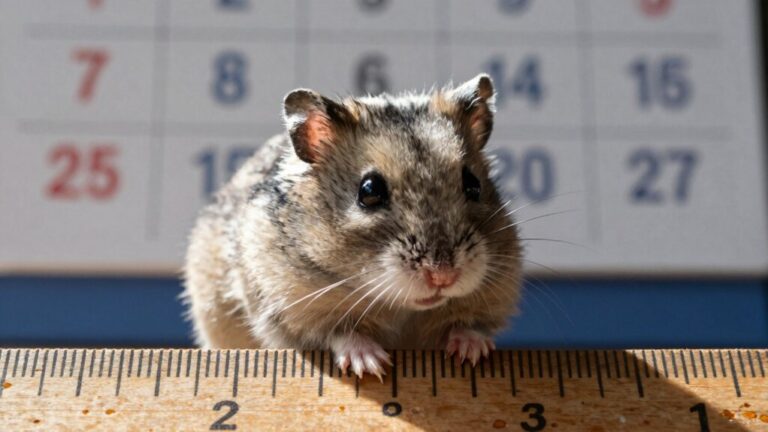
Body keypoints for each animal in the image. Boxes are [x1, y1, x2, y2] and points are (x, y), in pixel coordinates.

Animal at [183, 74, 522, 379]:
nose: (443, 276)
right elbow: (339, 333)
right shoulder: (291, 310)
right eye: (369, 191)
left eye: (473, 185)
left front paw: (472, 352)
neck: (402, 307)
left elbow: (468, 325)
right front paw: (372, 364)